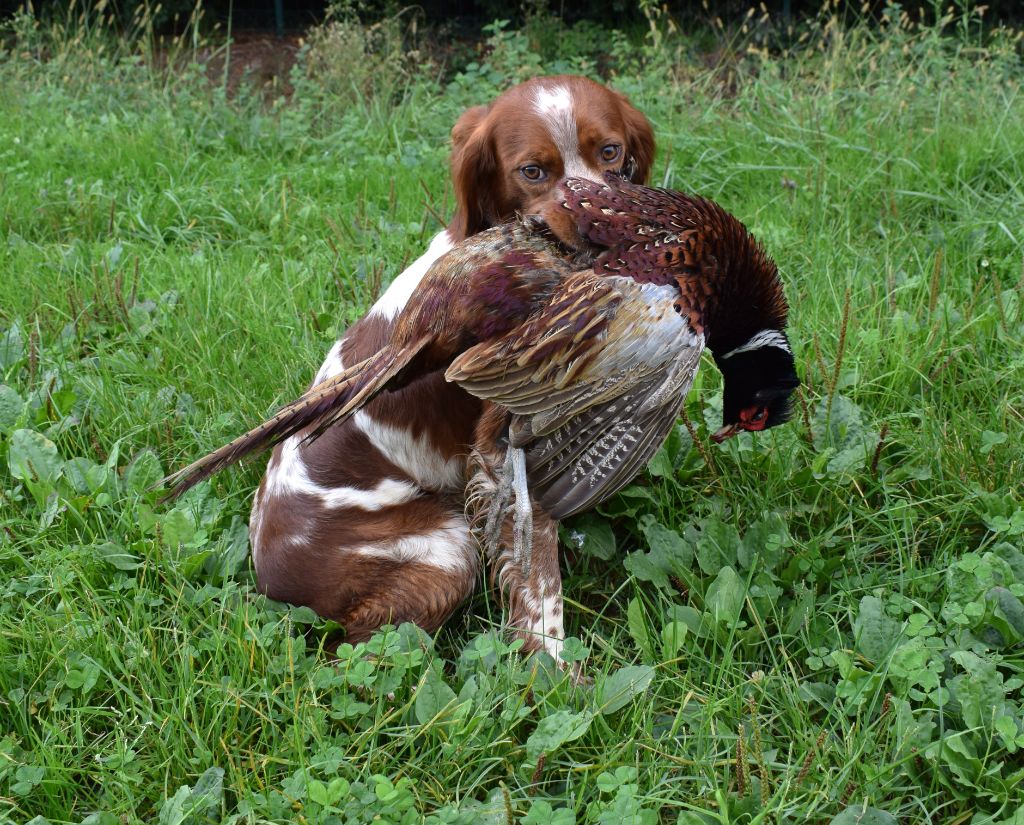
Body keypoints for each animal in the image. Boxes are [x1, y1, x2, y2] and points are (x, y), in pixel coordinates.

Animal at [247, 77, 655, 659]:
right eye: (532, 171)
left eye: (611, 152)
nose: (598, 227)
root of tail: (269, 581)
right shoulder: (502, 449)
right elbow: (539, 579)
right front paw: (552, 667)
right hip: (447, 547)